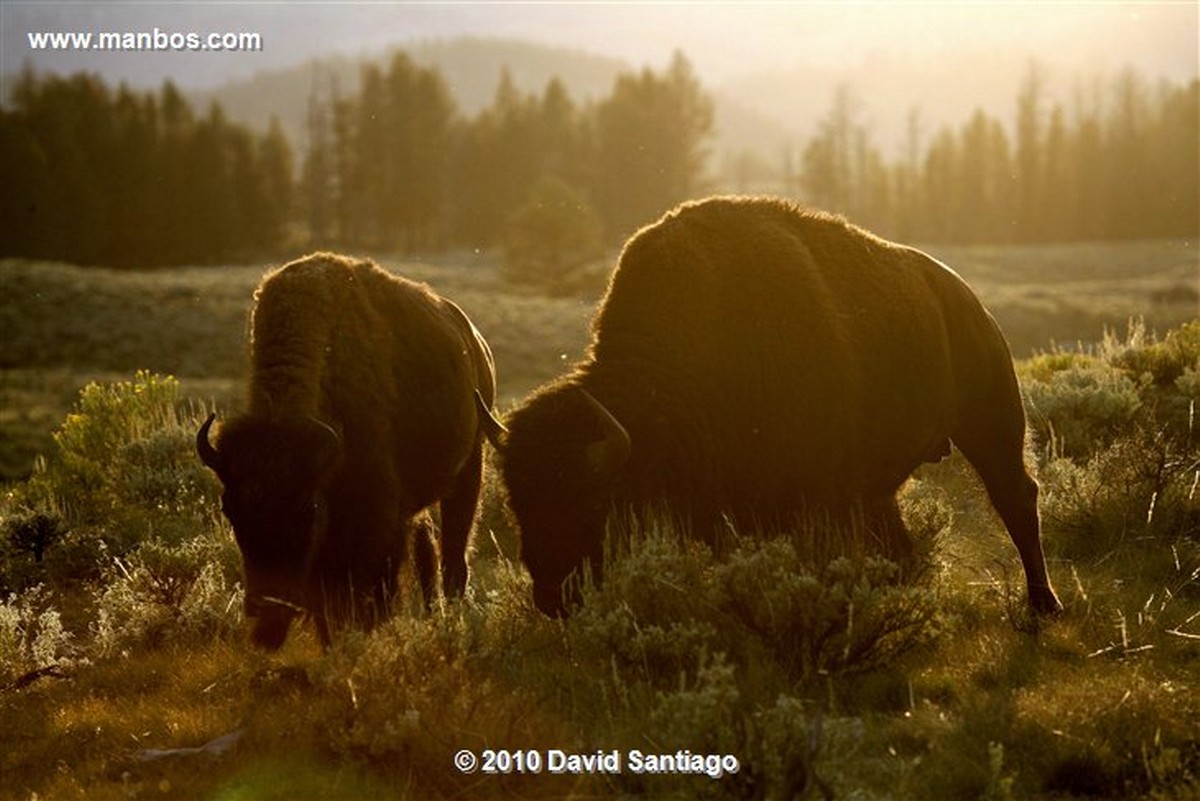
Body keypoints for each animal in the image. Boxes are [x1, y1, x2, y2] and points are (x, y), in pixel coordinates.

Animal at [198, 253, 496, 647]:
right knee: (427, 552)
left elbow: (371, 596)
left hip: (469, 467)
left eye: (307, 509)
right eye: (230, 510)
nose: (268, 606)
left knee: (454, 558)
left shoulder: (376, 522)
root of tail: (473, 340)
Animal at [477, 195, 1060, 618]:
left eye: (593, 503)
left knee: (1016, 499)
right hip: (886, 485)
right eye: (516, 501)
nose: (553, 597)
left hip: (992, 427)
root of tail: (966, 300)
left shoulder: (814, 499)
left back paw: (1044, 605)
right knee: (904, 540)